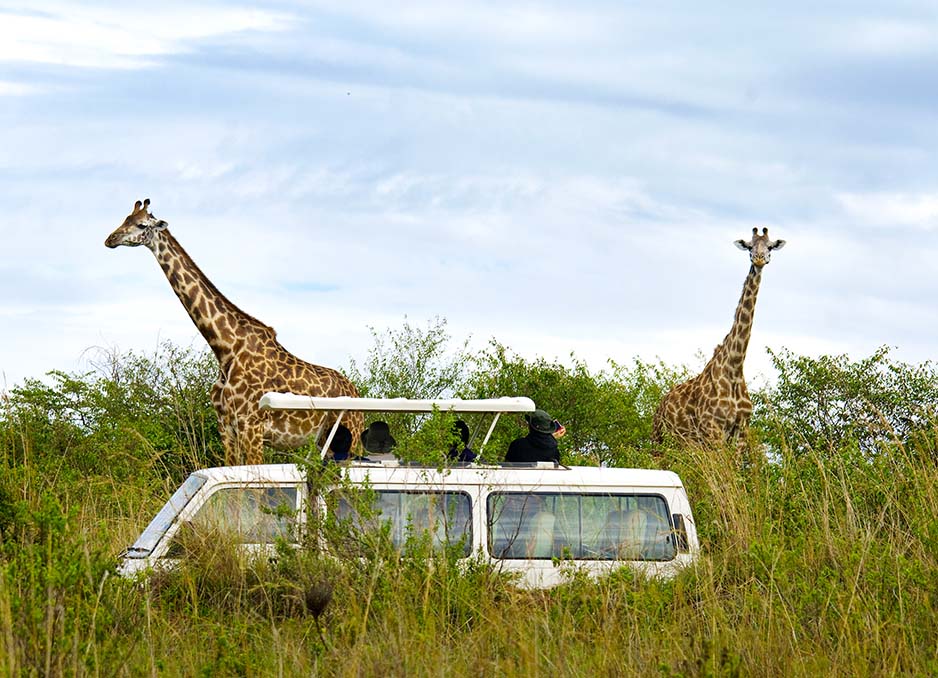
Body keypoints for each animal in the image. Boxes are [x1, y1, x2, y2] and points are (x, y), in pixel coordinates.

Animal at [105, 199, 364, 466]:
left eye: (141, 224)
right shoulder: (226, 426)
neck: (225, 348)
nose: (110, 239)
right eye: (125, 219)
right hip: (326, 440)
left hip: (351, 435)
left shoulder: (252, 426)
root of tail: (356, 391)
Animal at [652, 227, 786, 456]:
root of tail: (659, 407)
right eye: (749, 246)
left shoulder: (741, 431)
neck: (735, 366)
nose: (759, 259)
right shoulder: (713, 429)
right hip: (661, 441)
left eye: (769, 247)